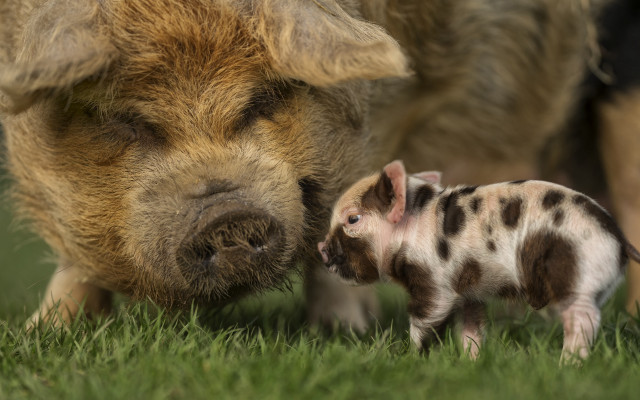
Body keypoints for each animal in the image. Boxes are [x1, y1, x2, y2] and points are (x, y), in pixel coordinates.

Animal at [318, 160, 640, 359]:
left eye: (353, 219)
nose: (321, 247)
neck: (412, 228)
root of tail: (619, 238)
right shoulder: (470, 291)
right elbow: (472, 328)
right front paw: (471, 363)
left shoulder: (434, 282)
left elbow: (426, 319)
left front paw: (411, 358)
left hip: (575, 276)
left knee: (583, 320)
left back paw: (568, 365)